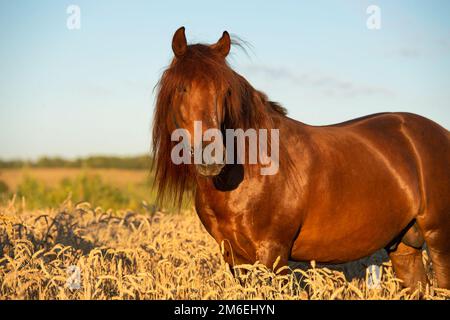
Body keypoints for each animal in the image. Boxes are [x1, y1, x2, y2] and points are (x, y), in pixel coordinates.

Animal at [154, 26, 450, 288]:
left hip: (439, 239)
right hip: (404, 245)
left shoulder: (273, 254)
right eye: (181, 88)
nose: (211, 157)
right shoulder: (235, 258)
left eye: (226, 90)